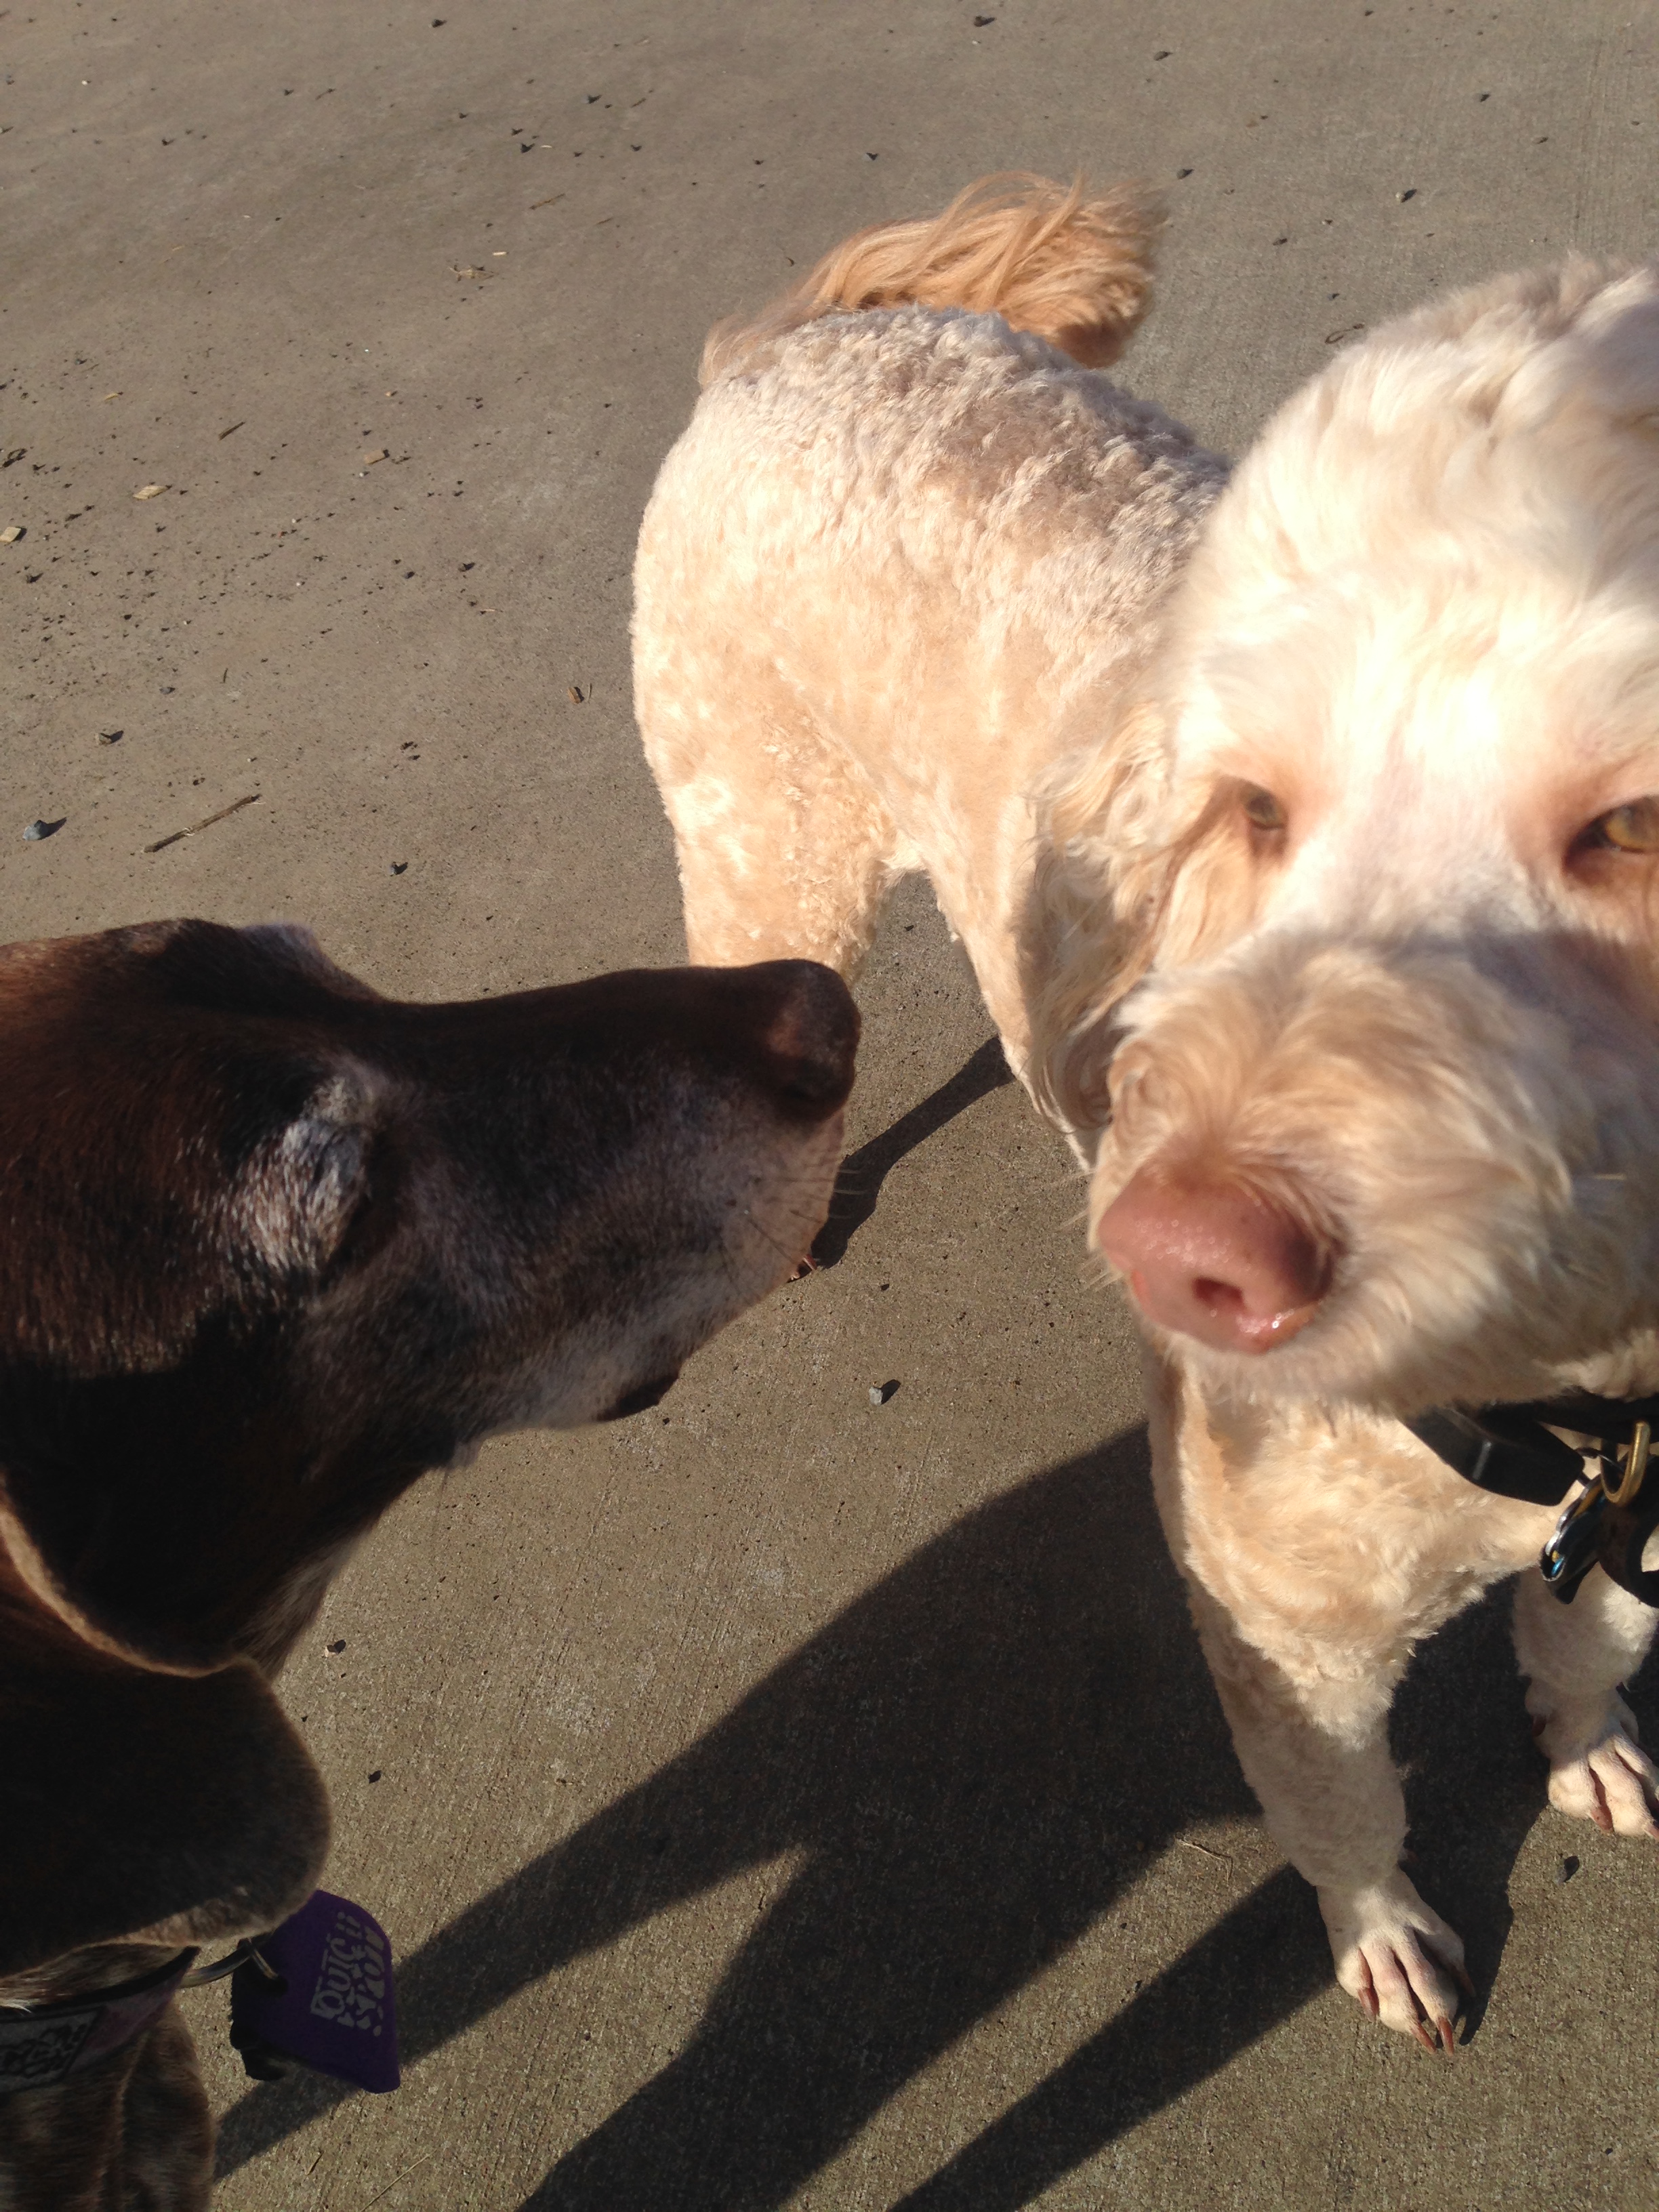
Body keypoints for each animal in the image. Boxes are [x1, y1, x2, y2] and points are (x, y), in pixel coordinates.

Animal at [634, 173, 1659, 2053]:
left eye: (1629, 824)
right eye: (1253, 806)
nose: (1185, 1251)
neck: (1556, 1402)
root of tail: (800, 343)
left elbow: (1579, 1647)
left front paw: (1588, 1745)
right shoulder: (1281, 1629)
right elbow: (1340, 1804)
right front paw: (1378, 1929)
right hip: (762, 836)